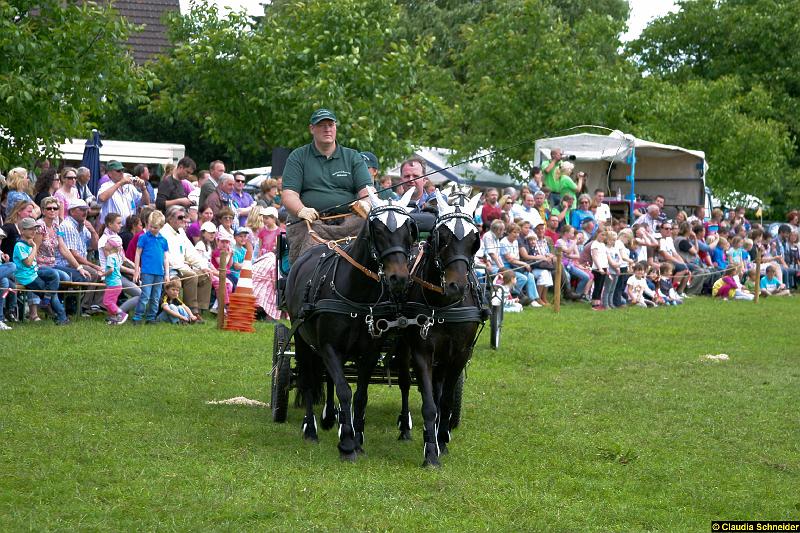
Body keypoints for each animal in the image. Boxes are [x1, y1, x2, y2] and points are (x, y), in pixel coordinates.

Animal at [284, 188, 416, 462]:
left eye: (409, 229)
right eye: (378, 230)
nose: (399, 278)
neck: (356, 292)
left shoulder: (369, 352)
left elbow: (360, 395)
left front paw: (358, 438)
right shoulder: (329, 347)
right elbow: (344, 390)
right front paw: (346, 443)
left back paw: (329, 417)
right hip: (301, 337)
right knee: (307, 380)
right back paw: (311, 429)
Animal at [398, 191, 482, 466]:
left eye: (474, 239)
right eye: (441, 238)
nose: (457, 286)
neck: (443, 304)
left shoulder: (459, 354)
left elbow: (444, 400)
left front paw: (441, 440)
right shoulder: (421, 352)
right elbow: (429, 404)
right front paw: (431, 453)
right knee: (404, 383)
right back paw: (405, 429)